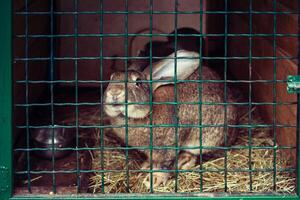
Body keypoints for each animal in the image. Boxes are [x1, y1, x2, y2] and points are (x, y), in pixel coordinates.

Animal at [104, 49, 240, 188]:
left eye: (138, 82)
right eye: (111, 79)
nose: (114, 92)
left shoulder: (167, 148)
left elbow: (164, 166)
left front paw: (153, 180)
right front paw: (146, 166)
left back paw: (182, 162)